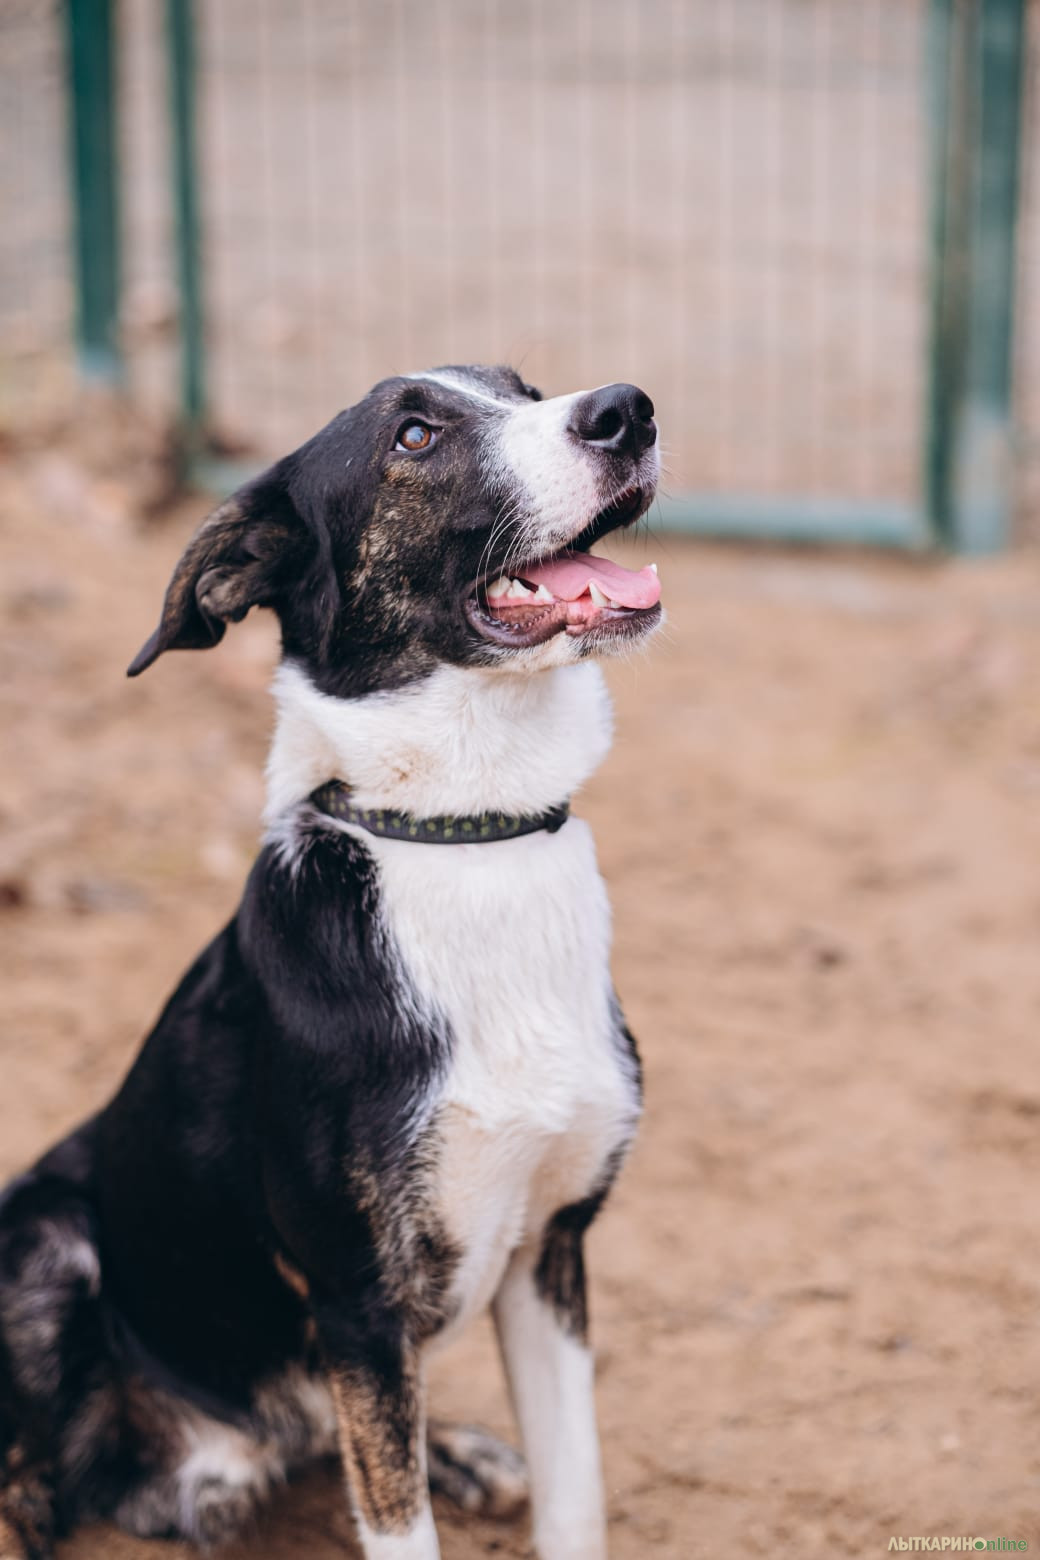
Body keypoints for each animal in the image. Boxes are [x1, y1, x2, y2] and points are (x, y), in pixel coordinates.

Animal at [0, 365, 661, 1560]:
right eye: (414, 436)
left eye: (527, 388)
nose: (625, 407)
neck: (464, 838)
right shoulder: (356, 1300)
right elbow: (397, 1523)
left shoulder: (550, 1250)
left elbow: (574, 1498)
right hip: (42, 1237)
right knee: (25, 1477)